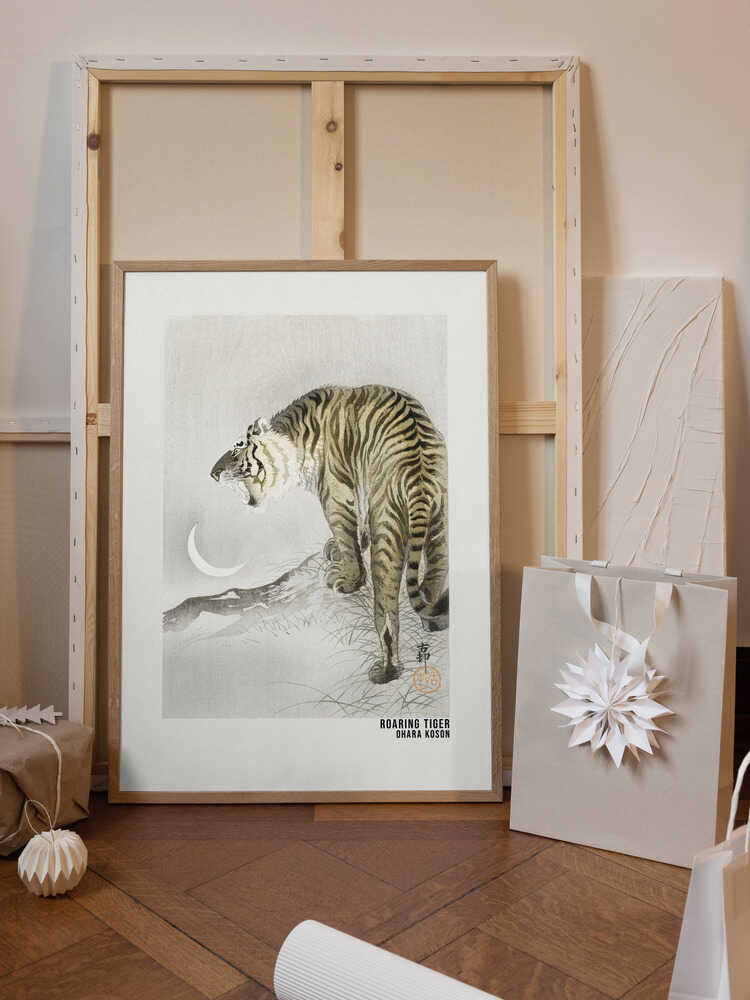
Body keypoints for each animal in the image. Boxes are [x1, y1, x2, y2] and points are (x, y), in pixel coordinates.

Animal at [210, 385, 449, 684]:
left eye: (236, 450)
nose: (213, 473)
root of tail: (419, 475)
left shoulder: (335, 493)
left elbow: (346, 534)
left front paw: (348, 579)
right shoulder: (360, 486)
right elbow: (358, 526)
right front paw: (342, 548)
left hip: (388, 528)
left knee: (386, 611)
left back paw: (386, 671)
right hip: (440, 523)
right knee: (435, 576)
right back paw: (435, 622)